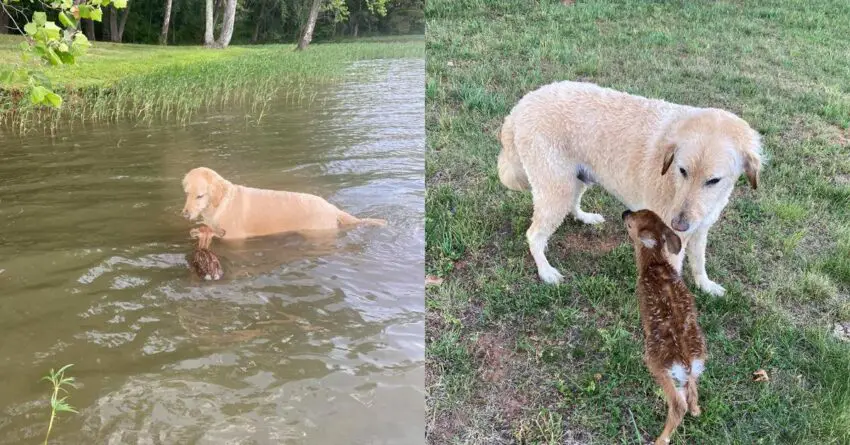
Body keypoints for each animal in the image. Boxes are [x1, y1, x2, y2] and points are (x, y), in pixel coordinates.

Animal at [186, 166, 388, 239]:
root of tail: (332, 208)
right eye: (187, 193)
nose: (185, 214)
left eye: (200, 196)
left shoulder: (235, 237)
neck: (221, 203)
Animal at [496, 80, 760, 294]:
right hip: (557, 188)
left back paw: (585, 217)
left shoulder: (700, 230)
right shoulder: (672, 243)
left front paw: (705, 285)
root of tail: (521, 105)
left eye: (713, 180)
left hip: (576, 179)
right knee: (534, 235)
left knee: (572, 205)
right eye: (682, 170)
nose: (678, 224)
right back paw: (546, 271)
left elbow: (699, 262)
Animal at [620, 209, 704, 444]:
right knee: (692, 390)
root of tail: (687, 362)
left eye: (630, 225)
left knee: (678, 404)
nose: (625, 213)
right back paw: (697, 411)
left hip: (657, 364)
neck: (654, 264)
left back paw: (660, 439)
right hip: (691, 371)